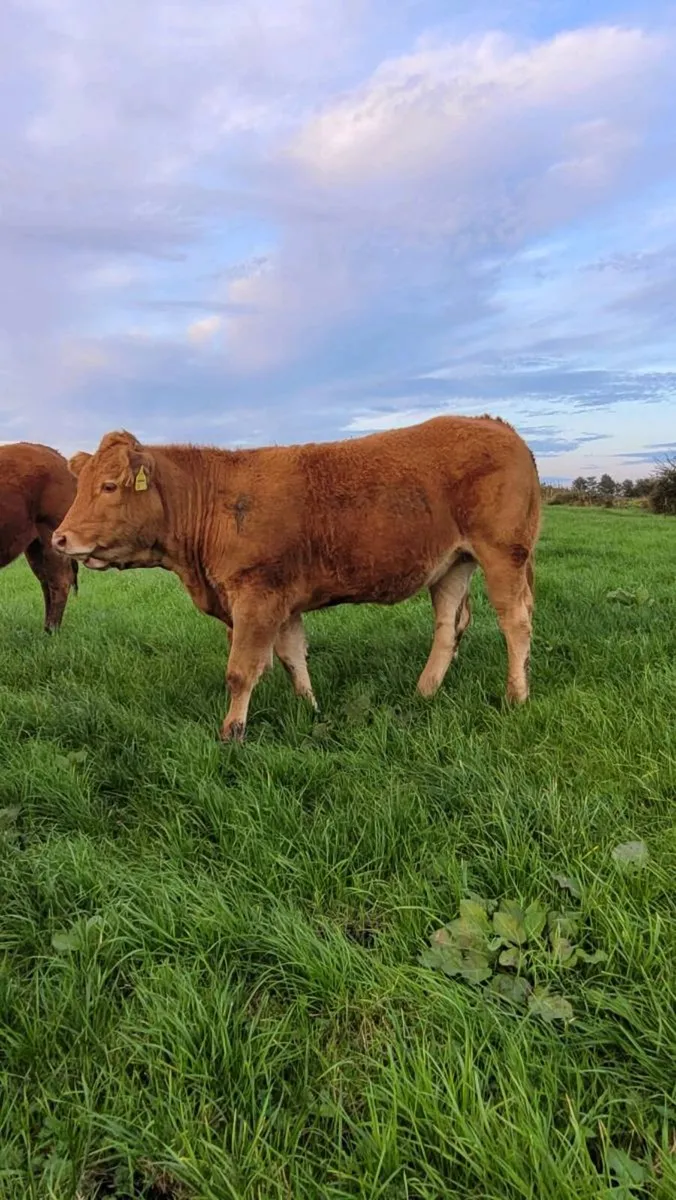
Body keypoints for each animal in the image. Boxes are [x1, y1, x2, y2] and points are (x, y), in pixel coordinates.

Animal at [54, 415, 540, 741]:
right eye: (80, 485)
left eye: (109, 486)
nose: (60, 537)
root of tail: (496, 425)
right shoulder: (281, 598)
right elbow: (292, 657)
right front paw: (309, 707)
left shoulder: (256, 596)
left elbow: (241, 670)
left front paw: (232, 732)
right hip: (453, 564)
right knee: (448, 626)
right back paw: (424, 692)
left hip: (504, 554)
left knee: (515, 622)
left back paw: (515, 696)